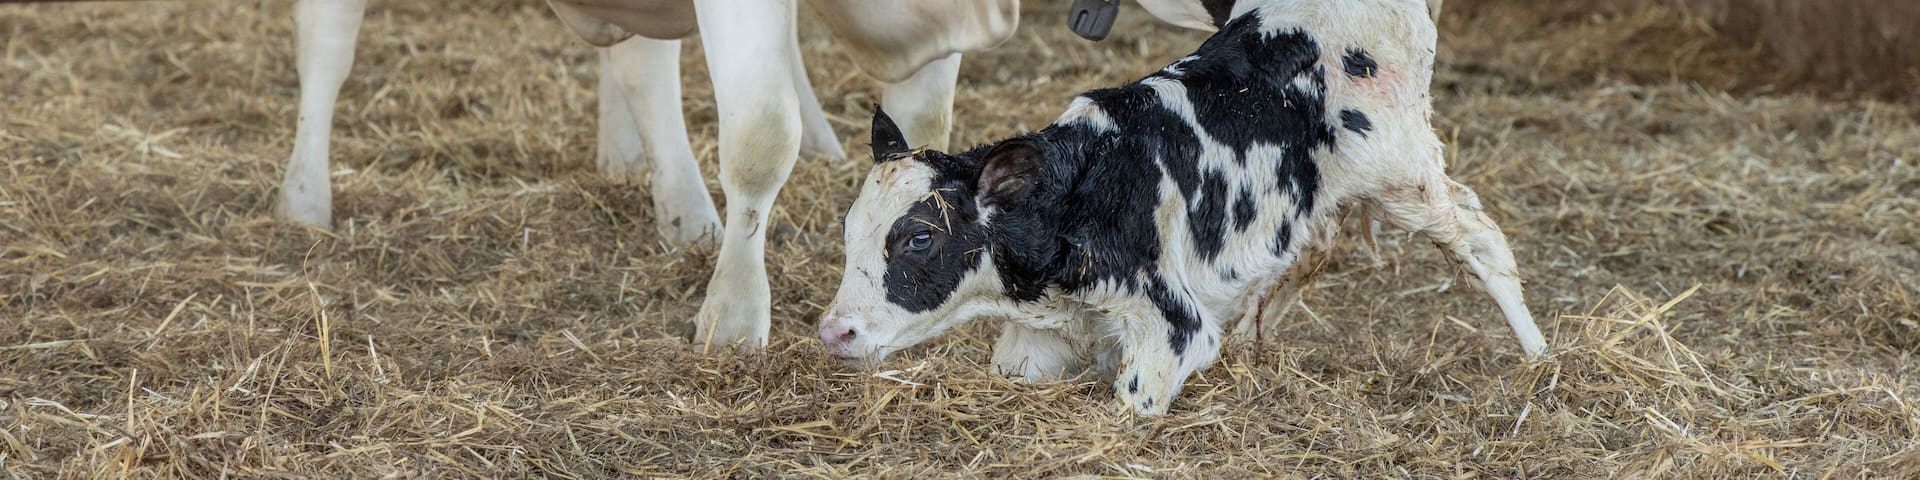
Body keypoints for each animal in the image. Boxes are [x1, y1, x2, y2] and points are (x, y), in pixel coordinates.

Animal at [279, 0, 1017, 351]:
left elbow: (924, 119)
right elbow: (759, 132)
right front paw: (734, 315)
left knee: (643, 66)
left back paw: (673, 198)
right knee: (325, 45)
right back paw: (303, 201)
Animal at [817, 0, 1546, 415]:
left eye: (918, 239)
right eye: (850, 233)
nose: (834, 332)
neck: (1083, 194)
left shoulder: (1171, 324)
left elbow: (1130, 406)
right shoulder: (1048, 336)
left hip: (1402, 172)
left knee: (1480, 240)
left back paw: (1541, 360)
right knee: (1310, 249)